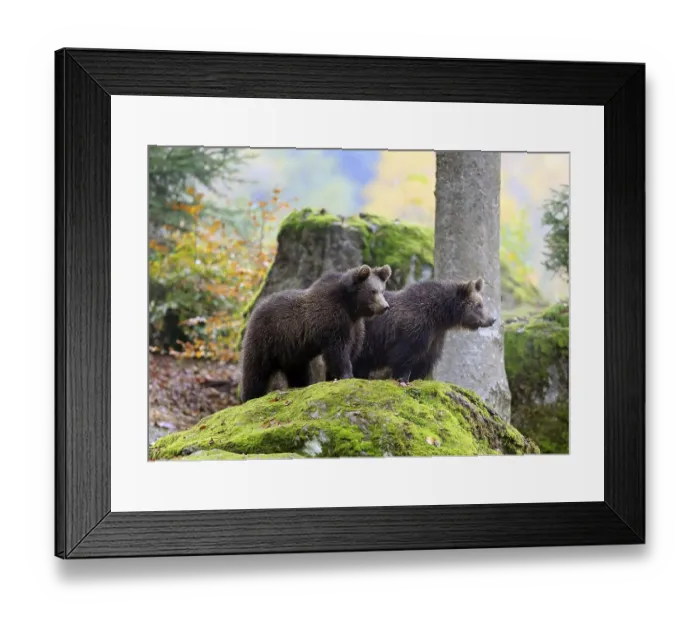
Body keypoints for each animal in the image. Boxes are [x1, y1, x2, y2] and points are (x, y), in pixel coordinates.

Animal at [239, 263, 392, 402]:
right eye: (373, 291)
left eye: (383, 290)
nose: (385, 306)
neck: (350, 307)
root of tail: (256, 308)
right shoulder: (333, 321)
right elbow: (338, 351)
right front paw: (346, 374)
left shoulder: (355, 326)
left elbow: (352, 349)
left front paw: (333, 377)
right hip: (266, 337)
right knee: (255, 370)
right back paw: (250, 396)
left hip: (291, 350)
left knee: (298, 370)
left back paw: (301, 384)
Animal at [352, 277, 496, 385]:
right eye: (478, 305)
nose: (492, 319)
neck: (439, 317)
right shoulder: (414, 331)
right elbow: (404, 357)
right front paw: (402, 379)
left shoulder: (436, 336)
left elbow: (425, 360)